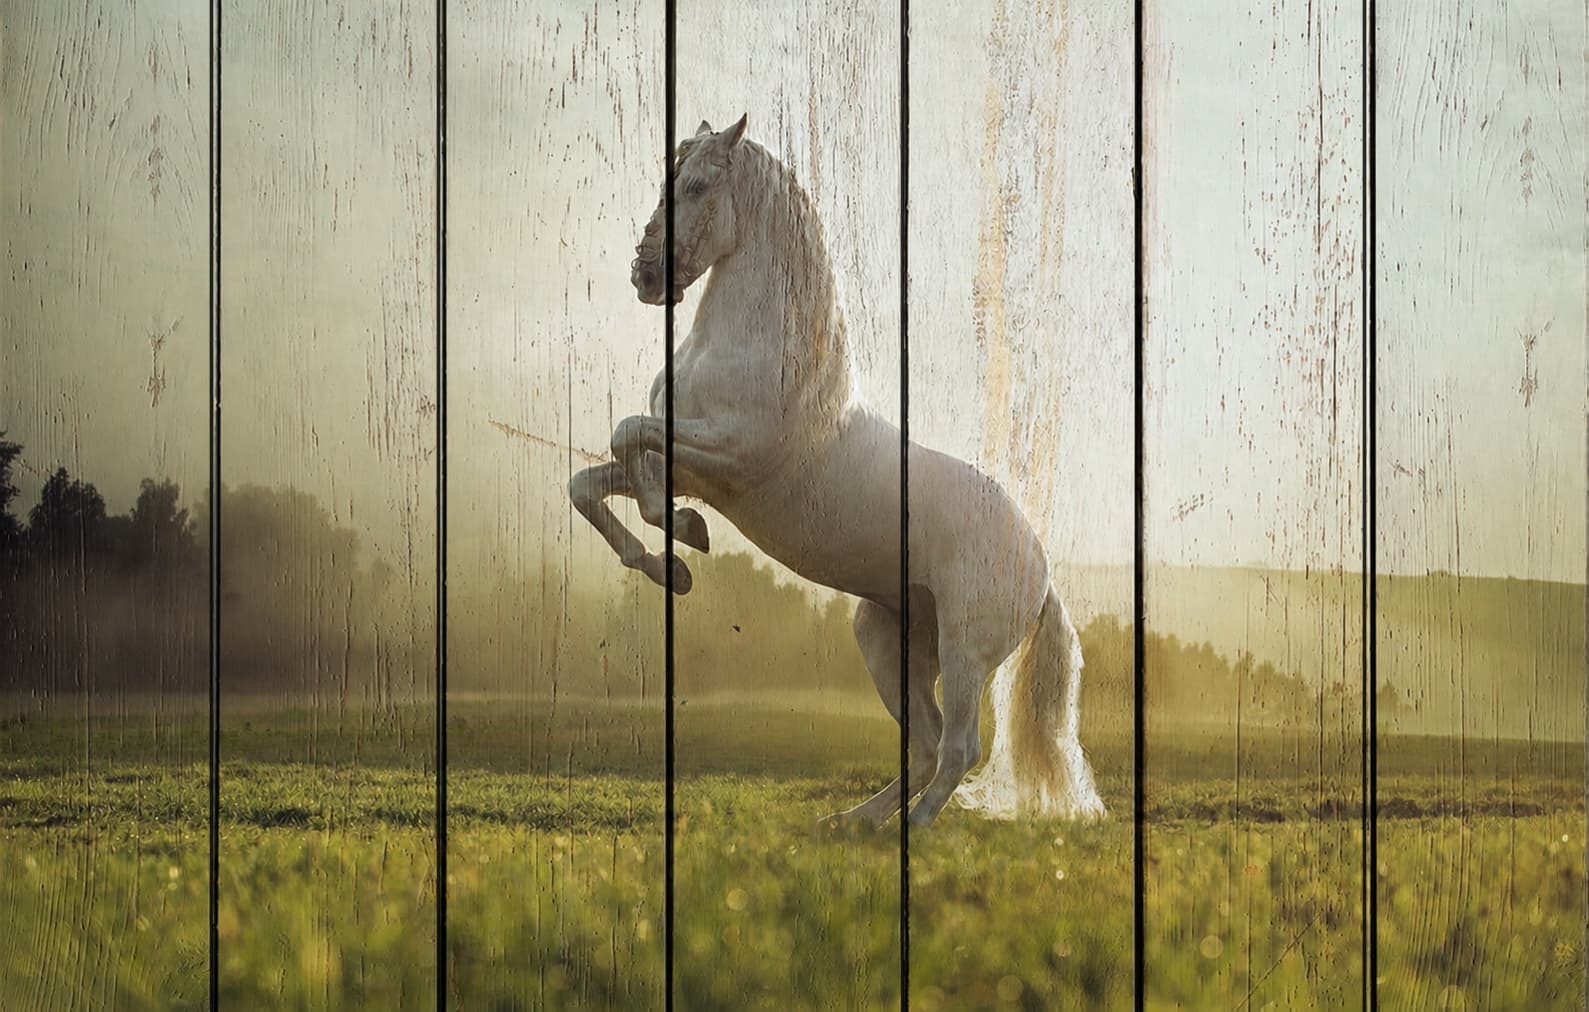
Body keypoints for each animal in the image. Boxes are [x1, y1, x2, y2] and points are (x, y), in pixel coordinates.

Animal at [568, 114, 1105, 827]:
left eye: (700, 185)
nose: (646, 276)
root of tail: (1041, 571)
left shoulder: (730, 454)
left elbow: (628, 434)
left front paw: (679, 536)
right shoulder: (692, 466)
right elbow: (591, 481)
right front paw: (672, 560)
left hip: (965, 648)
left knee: (959, 747)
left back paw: (909, 830)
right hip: (887, 642)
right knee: (926, 744)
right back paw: (854, 824)